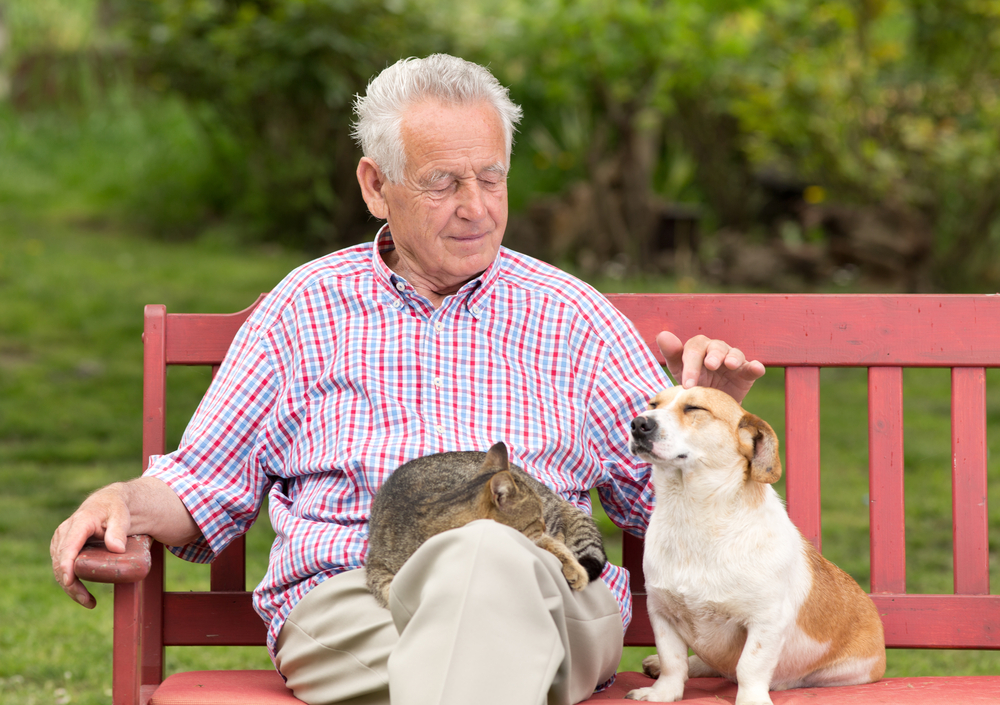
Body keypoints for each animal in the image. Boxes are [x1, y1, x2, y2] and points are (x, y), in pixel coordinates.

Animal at [364, 440, 604, 604]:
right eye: (537, 518)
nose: (543, 524)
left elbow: (555, 546)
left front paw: (574, 569)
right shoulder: (376, 567)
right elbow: (391, 592)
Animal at [624, 388, 884, 700]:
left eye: (694, 408)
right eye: (653, 404)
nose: (638, 423)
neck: (694, 515)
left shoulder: (765, 621)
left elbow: (749, 666)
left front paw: (751, 699)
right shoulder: (662, 613)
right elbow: (671, 661)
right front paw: (661, 694)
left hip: (845, 672)